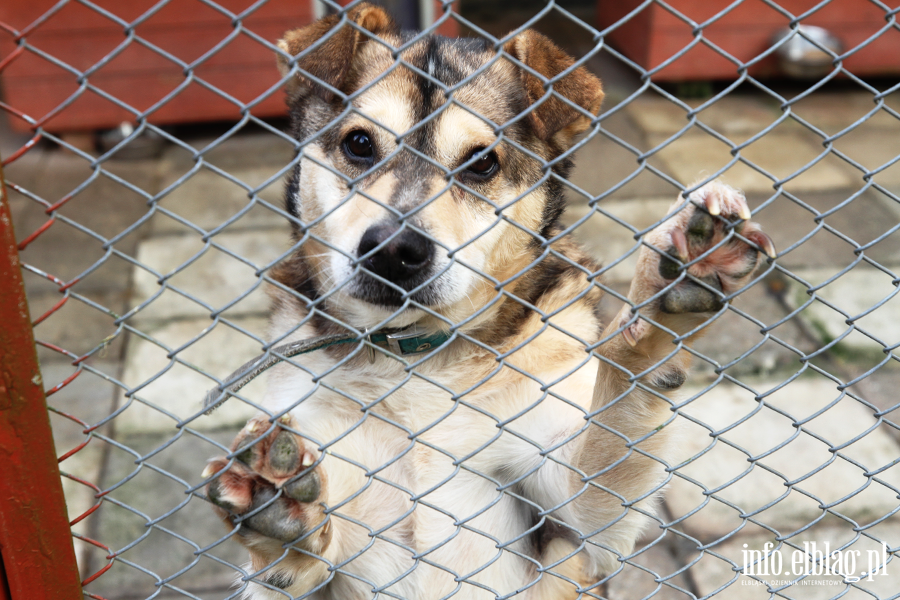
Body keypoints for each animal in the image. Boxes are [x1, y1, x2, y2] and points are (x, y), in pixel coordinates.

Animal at [202, 5, 772, 600]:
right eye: (359, 144)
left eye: (482, 163)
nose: (394, 250)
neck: (416, 358)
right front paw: (280, 520)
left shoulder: (576, 514)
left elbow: (611, 432)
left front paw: (660, 309)